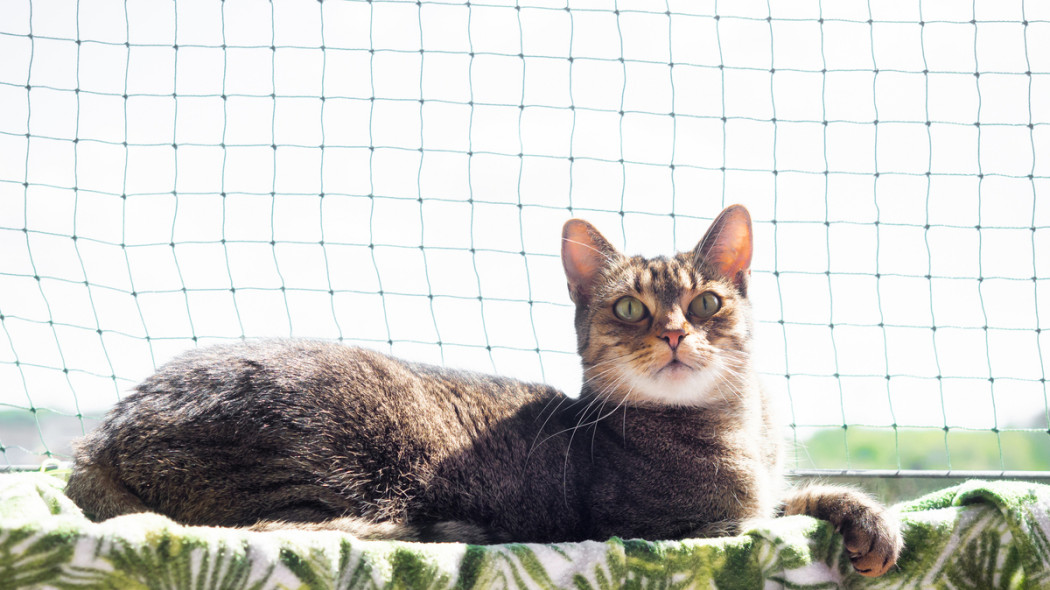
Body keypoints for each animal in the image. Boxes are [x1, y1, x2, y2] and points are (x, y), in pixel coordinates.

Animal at [65, 205, 902, 575]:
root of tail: (96, 437)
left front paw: (866, 517)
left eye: (704, 304)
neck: (739, 427)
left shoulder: (760, 496)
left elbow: (796, 499)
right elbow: (758, 517)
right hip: (341, 452)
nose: (672, 334)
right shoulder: (690, 525)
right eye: (630, 309)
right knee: (287, 532)